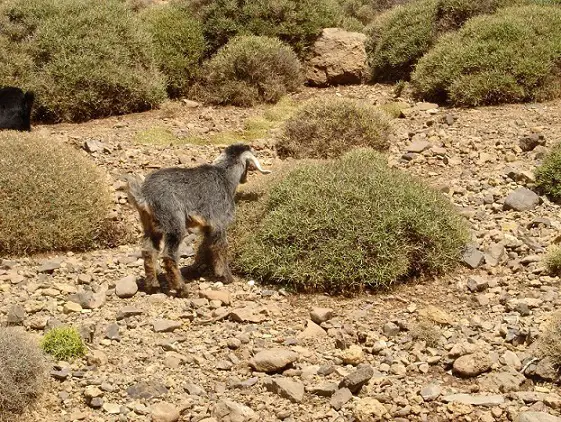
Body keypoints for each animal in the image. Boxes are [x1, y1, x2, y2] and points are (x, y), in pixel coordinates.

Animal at [124, 143, 272, 296]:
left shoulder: (207, 226)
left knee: (149, 251)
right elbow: (221, 246)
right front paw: (226, 276)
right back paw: (181, 289)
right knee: (169, 255)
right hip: (173, 223)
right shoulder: (219, 222)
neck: (224, 177)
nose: (245, 179)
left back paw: (153, 286)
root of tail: (144, 195)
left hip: (150, 225)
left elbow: (208, 245)